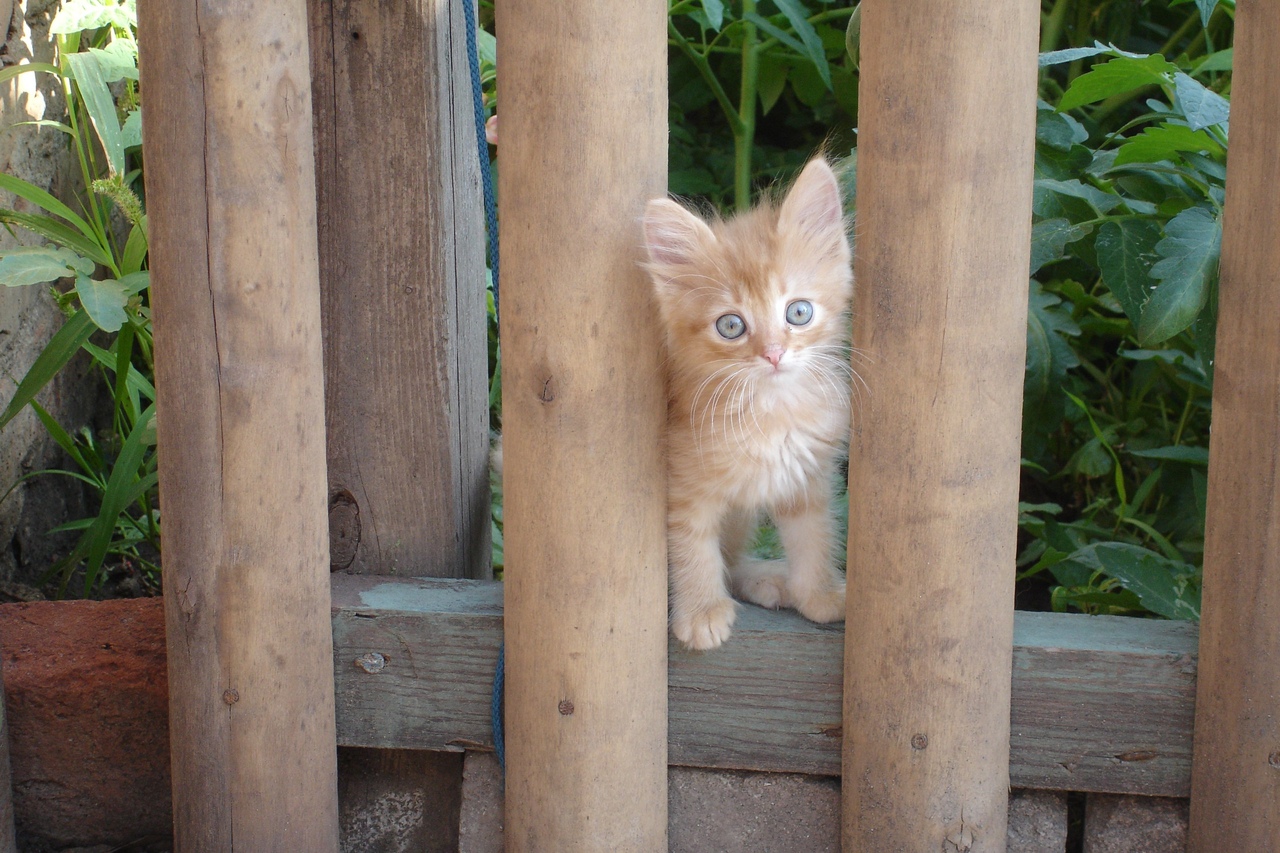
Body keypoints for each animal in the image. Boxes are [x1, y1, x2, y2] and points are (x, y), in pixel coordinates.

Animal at [645, 159, 855, 648]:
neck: (771, 411)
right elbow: (693, 545)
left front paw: (818, 596)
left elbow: (813, 537)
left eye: (798, 312)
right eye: (731, 325)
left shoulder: (807, 478)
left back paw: (764, 578)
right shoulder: (682, 485)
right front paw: (701, 610)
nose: (774, 353)